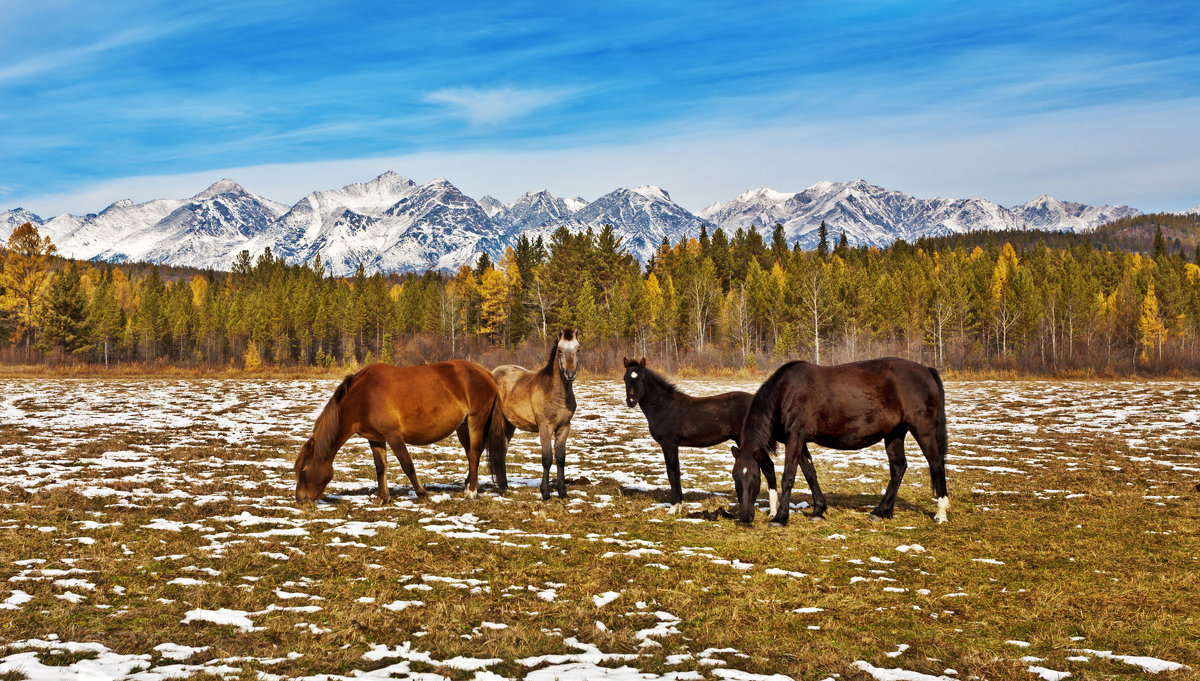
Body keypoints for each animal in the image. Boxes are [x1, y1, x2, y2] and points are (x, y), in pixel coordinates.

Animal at [300, 362, 511, 505]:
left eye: (303, 469)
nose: (300, 498)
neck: (362, 397)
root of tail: (485, 373)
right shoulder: (375, 439)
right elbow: (380, 467)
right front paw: (381, 497)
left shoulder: (393, 436)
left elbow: (407, 465)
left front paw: (422, 495)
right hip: (463, 427)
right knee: (470, 455)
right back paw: (467, 485)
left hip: (476, 422)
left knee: (474, 455)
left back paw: (471, 492)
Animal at [489, 330, 578, 501]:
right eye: (560, 350)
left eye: (578, 349)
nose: (570, 374)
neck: (555, 392)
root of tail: (492, 373)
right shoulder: (545, 427)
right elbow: (547, 459)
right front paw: (545, 493)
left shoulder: (564, 427)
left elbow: (561, 459)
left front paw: (563, 492)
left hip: (509, 425)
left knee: (502, 451)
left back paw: (505, 486)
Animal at [624, 359, 782, 513]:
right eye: (625, 378)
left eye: (641, 379)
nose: (631, 401)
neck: (663, 406)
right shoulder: (673, 445)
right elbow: (677, 471)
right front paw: (679, 505)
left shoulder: (668, 443)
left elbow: (671, 472)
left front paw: (673, 508)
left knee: (768, 467)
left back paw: (773, 511)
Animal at [729, 357, 945, 527]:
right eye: (735, 476)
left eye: (755, 477)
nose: (745, 516)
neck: (784, 394)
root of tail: (927, 370)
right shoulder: (801, 441)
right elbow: (810, 473)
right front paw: (818, 510)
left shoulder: (795, 438)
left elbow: (788, 477)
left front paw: (780, 518)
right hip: (894, 433)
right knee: (898, 467)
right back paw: (881, 512)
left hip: (923, 430)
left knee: (936, 464)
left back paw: (940, 514)